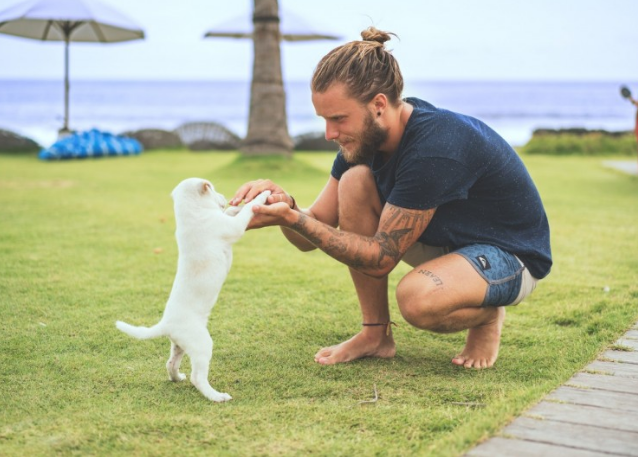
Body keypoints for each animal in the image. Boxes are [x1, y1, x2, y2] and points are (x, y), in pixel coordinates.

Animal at [116, 176, 272, 400]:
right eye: (214, 189)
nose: (226, 198)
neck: (191, 212)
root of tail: (166, 324)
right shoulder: (232, 227)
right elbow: (247, 211)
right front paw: (261, 196)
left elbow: (231, 212)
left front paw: (237, 205)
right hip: (202, 344)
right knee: (197, 377)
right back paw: (216, 396)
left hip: (180, 345)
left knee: (170, 363)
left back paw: (177, 378)